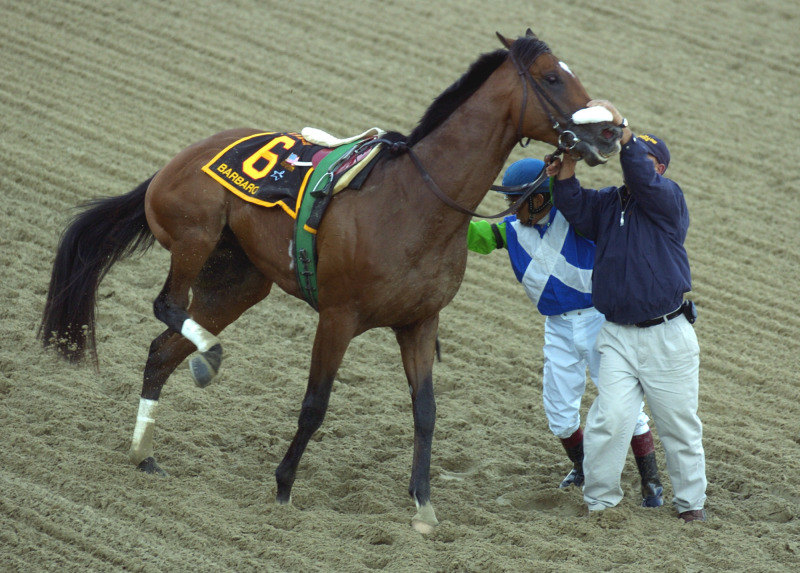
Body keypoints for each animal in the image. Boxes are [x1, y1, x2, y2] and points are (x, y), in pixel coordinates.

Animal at [40, 30, 620, 532]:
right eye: (551, 78)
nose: (612, 131)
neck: (415, 202)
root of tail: (175, 163)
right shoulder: (338, 318)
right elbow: (315, 405)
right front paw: (283, 486)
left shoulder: (419, 322)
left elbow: (426, 412)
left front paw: (423, 506)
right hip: (194, 235)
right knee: (166, 306)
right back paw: (209, 358)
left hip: (238, 283)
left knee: (162, 349)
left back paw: (144, 450)